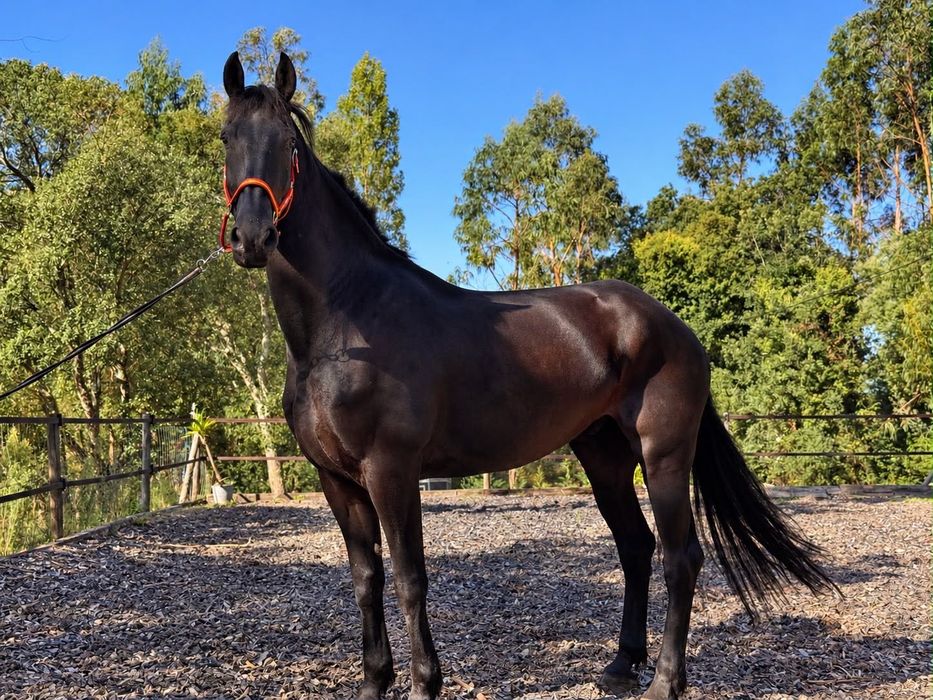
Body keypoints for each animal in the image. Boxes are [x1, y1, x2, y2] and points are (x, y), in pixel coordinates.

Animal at [219, 51, 835, 700]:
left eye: (288, 142)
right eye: (227, 137)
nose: (253, 237)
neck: (346, 324)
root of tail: (673, 327)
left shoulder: (392, 470)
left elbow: (410, 579)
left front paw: (425, 683)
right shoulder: (337, 480)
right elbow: (367, 580)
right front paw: (373, 683)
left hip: (663, 455)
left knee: (679, 557)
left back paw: (665, 681)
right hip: (604, 456)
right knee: (636, 548)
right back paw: (620, 666)